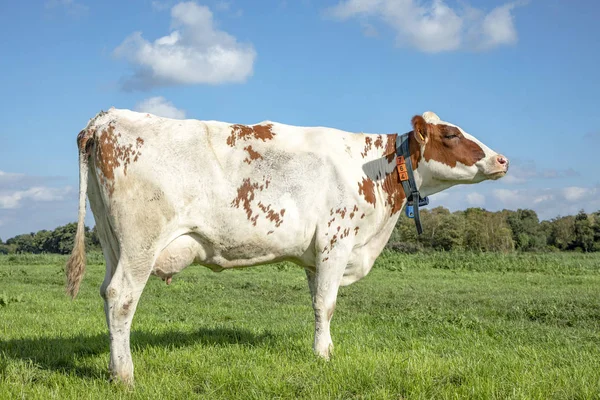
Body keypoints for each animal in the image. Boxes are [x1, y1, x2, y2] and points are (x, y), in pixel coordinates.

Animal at [64, 108, 506, 382]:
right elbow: (327, 304)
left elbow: (316, 304)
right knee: (122, 297)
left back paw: (112, 368)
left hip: (113, 242)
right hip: (141, 242)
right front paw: (324, 356)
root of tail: (107, 118)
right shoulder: (336, 241)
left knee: (106, 293)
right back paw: (125, 375)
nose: (502, 159)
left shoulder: (315, 257)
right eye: (451, 134)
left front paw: (322, 348)